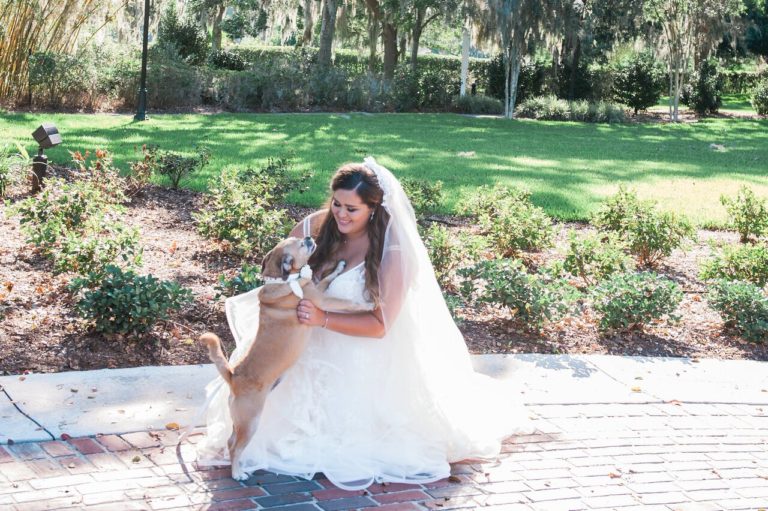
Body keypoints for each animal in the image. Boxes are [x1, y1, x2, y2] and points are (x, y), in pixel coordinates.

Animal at [201, 236, 376, 480]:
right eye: (301, 245)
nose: (309, 237)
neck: (286, 280)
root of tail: (233, 376)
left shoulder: (317, 288)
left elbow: (328, 278)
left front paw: (339, 267)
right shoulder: (322, 300)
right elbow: (346, 302)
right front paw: (369, 304)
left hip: (240, 421)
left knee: (230, 441)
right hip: (250, 421)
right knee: (236, 446)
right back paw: (238, 473)